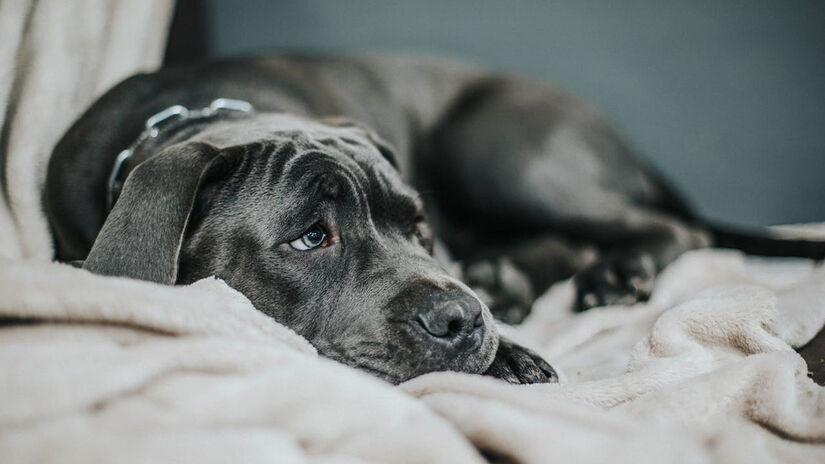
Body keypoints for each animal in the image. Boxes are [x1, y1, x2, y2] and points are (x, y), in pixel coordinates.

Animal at [46, 54, 824, 384]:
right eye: (310, 237)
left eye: (418, 225)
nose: (462, 319)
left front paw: (509, 350)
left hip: (497, 154)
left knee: (665, 229)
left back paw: (608, 275)